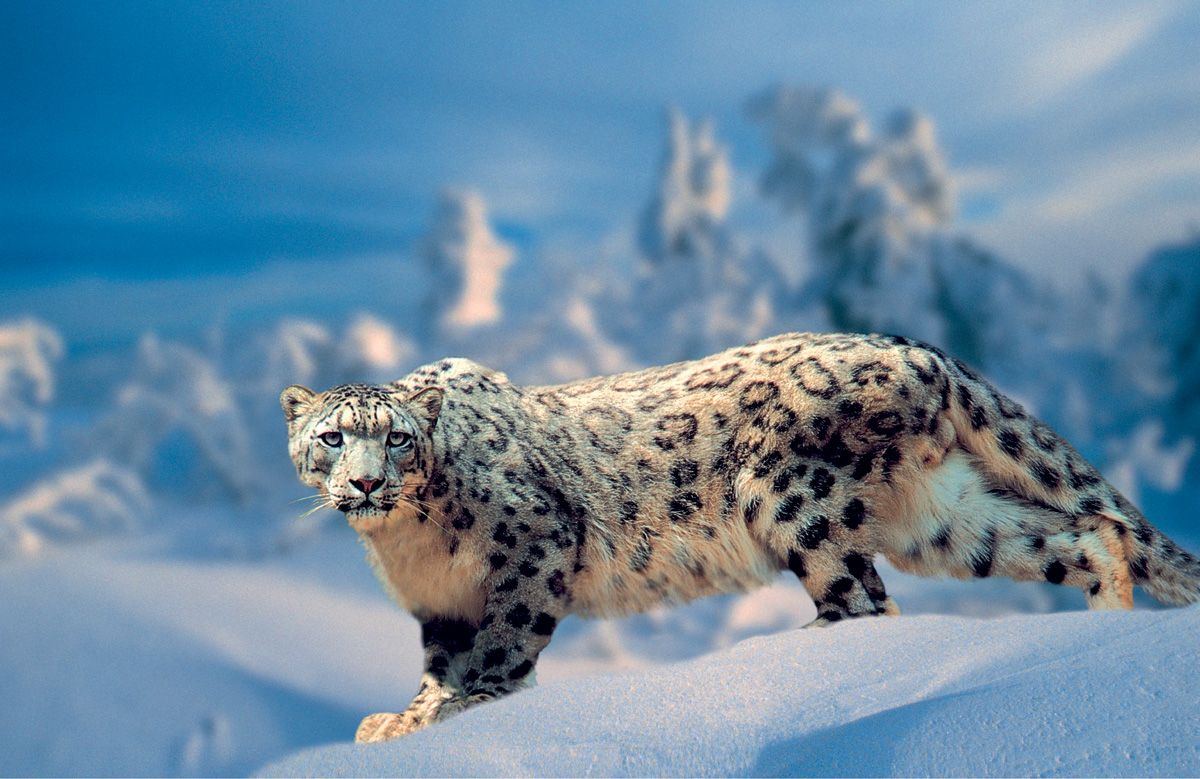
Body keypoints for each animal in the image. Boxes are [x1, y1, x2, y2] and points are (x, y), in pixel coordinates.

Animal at [280, 331, 1200, 743]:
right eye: (333, 437)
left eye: (399, 440)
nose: (365, 483)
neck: (408, 544)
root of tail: (919, 350)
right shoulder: (440, 606)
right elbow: (439, 664)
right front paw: (404, 718)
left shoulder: (533, 545)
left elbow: (503, 648)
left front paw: (458, 712)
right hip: (944, 516)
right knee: (1087, 532)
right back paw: (1107, 622)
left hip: (791, 495)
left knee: (865, 600)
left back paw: (784, 652)